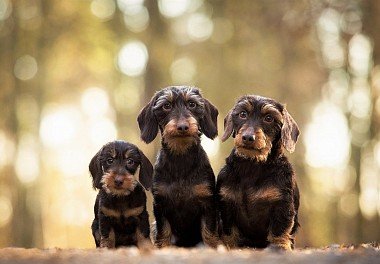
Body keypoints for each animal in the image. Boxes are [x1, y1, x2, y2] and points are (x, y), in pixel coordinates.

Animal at [137, 85, 220, 248]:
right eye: (166, 106)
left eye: (192, 104)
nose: (182, 126)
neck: (181, 158)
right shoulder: (160, 205)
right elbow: (164, 232)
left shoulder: (207, 202)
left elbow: (208, 231)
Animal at [217, 94, 300, 250]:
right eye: (243, 114)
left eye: (269, 118)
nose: (248, 137)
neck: (253, 165)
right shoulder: (227, 203)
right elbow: (229, 231)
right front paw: (228, 246)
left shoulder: (282, 204)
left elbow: (279, 228)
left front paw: (280, 246)